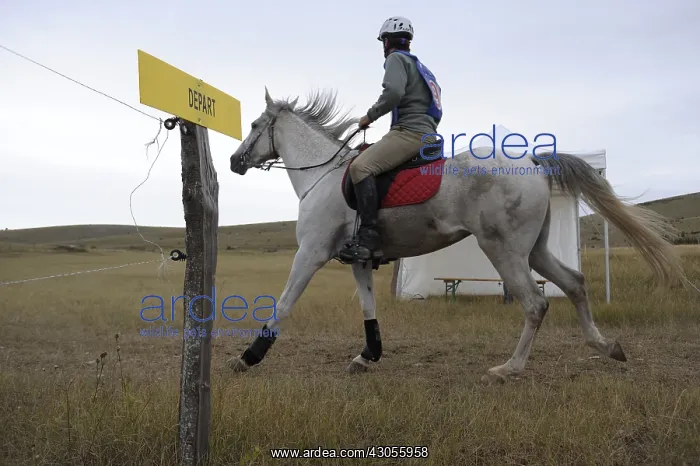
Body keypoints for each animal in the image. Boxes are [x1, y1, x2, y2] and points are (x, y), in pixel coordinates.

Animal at [227, 87, 685, 384]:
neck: (321, 174)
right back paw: (605, 346)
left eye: (254, 124)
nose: (234, 161)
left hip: (502, 249)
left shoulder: (311, 252)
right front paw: (366, 356)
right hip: (533, 251)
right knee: (574, 283)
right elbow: (368, 309)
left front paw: (248, 358)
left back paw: (508, 369)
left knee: (535, 303)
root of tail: (534, 163)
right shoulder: (360, 258)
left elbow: (284, 304)